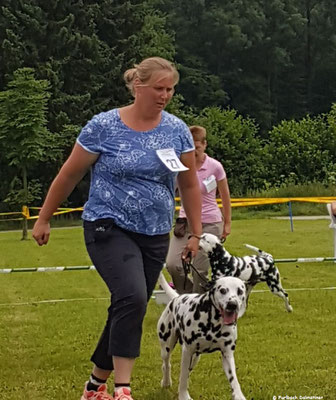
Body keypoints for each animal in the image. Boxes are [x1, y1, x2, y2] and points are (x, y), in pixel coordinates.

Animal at [158, 270, 247, 398]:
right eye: (222, 290)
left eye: (240, 291)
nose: (232, 304)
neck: (214, 324)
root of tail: (176, 297)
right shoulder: (187, 351)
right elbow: (183, 377)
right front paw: (184, 396)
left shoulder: (227, 354)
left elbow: (234, 380)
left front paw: (239, 395)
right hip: (166, 346)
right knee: (166, 364)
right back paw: (166, 382)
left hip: (195, 358)